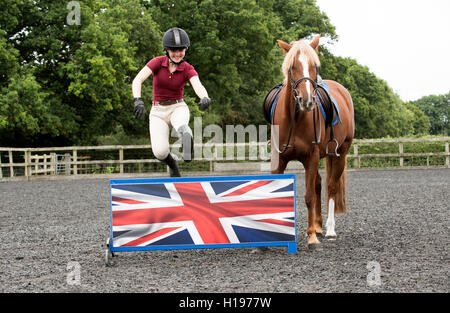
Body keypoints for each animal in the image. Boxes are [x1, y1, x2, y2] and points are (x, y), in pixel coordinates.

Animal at [270, 36, 356, 246]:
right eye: (292, 66)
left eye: (314, 66)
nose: (307, 101)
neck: (295, 118)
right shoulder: (279, 159)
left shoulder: (311, 157)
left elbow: (309, 196)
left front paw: (311, 237)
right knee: (318, 184)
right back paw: (317, 225)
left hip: (340, 153)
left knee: (331, 187)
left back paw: (329, 229)